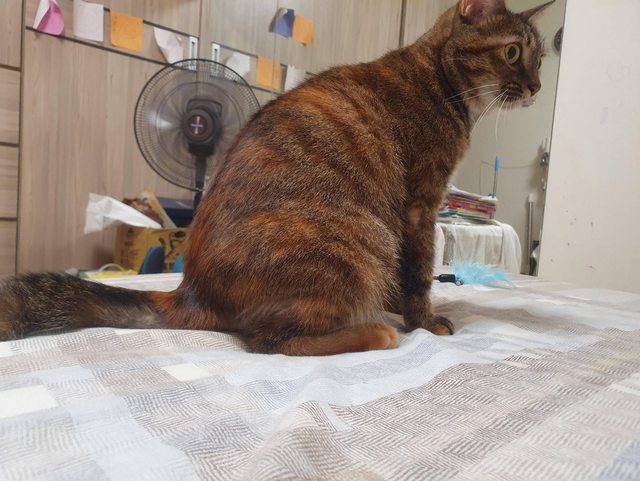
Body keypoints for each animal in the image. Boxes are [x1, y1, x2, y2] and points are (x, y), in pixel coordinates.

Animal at [0, 0, 554, 355]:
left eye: (540, 58)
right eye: (512, 52)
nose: (536, 86)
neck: (438, 79)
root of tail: (192, 292)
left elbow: (408, 277)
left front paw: (404, 305)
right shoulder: (422, 204)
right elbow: (417, 274)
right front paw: (425, 320)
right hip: (359, 242)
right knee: (272, 343)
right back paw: (374, 333)